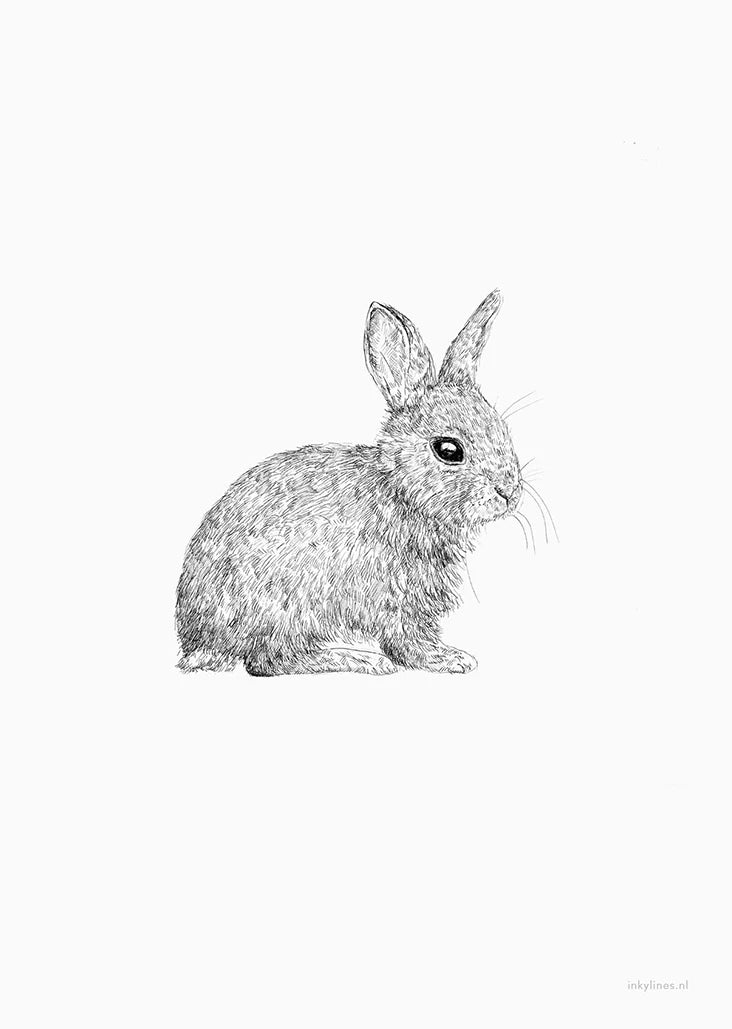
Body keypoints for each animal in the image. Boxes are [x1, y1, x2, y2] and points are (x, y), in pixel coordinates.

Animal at [176, 289, 523, 675]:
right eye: (448, 450)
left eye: (503, 430)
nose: (510, 493)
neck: (400, 490)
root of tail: (200, 642)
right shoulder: (397, 597)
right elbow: (409, 642)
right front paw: (449, 659)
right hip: (290, 604)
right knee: (271, 661)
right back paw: (358, 659)